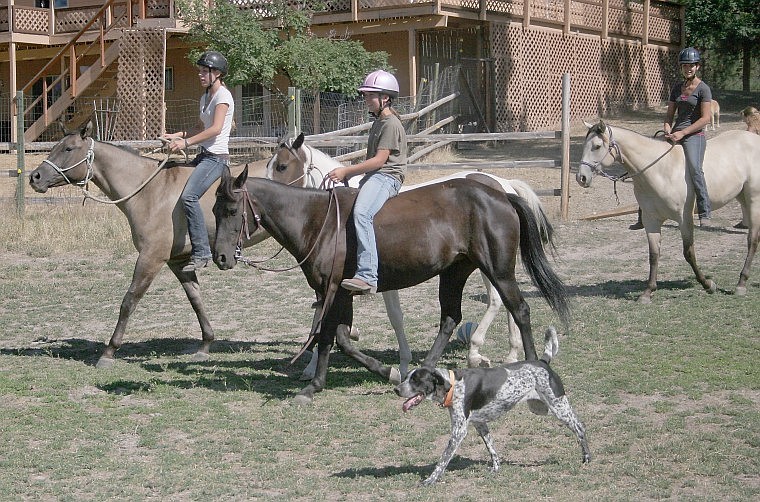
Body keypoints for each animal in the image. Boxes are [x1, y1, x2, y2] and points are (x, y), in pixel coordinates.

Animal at [214, 167, 568, 406]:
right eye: (215, 209)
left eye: (231, 210)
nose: (220, 257)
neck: (319, 222)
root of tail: (500, 194)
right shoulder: (334, 293)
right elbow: (338, 338)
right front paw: (384, 373)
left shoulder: (336, 292)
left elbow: (331, 337)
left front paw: (317, 386)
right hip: (454, 272)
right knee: (450, 318)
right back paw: (424, 371)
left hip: (498, 270)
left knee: (519, 309)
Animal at [268, 132, 560, 376]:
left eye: (282, 166)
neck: (336, 213)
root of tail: (502, 187)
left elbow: (394, 318)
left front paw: (400, 363)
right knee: (502, 303)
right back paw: (508, 355)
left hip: (492, 266)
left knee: (502, 302)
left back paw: (480, 353)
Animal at [394, 328, 592, 484]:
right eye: (407, 377)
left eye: (416, 380)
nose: (396, 389)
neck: (452, 384)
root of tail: (543, 361)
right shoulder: (480, 424)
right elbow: (491, 447)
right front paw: (496, 468)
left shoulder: (459, 431)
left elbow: (443, 459)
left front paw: (431, 479)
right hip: (541, 408)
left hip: (558, 407)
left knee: (579, 426)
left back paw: (587, 458)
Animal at [576, 120, 760, 304]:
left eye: (597, 146)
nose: (581, 178)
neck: (660, 171)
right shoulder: (651, 220)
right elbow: (653, 255)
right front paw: (648, 292)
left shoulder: (684, 219)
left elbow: (688, 253)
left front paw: (708, 284)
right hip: (742, 197)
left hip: (753, 199)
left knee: (752, 240)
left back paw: (741, 284)